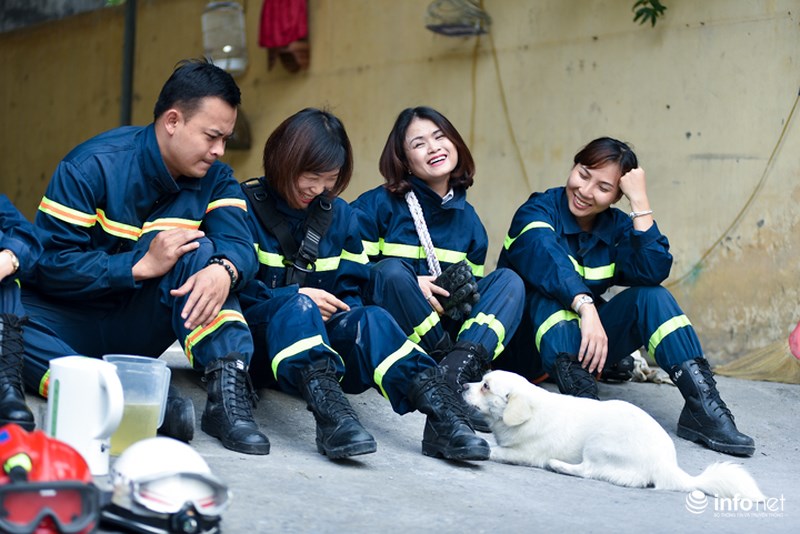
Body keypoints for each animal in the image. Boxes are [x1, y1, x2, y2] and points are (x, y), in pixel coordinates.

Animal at [466, 370, 764, 500]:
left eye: (486, 386)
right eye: (481, 379)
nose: (463, 386)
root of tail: (666, 466)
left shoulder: (523, 453)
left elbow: (497, 449)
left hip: (598, 443)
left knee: (591, 471)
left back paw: (559, 465)